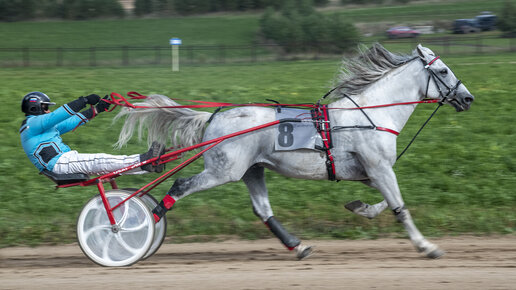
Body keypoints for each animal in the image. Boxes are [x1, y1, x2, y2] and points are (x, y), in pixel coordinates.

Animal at [117, 44, 476, 258]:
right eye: (443, 71)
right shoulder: (379, 168)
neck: (370, 114)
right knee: (179, 186)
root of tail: (214, 117)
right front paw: (426, 246)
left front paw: (360, 207)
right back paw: (138, 224)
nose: (468, 98)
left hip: (252, 171)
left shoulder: (369, 172)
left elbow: (387, 203)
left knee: (263, 210)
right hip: (223, 171)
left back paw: (297, 246)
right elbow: (400, 207)